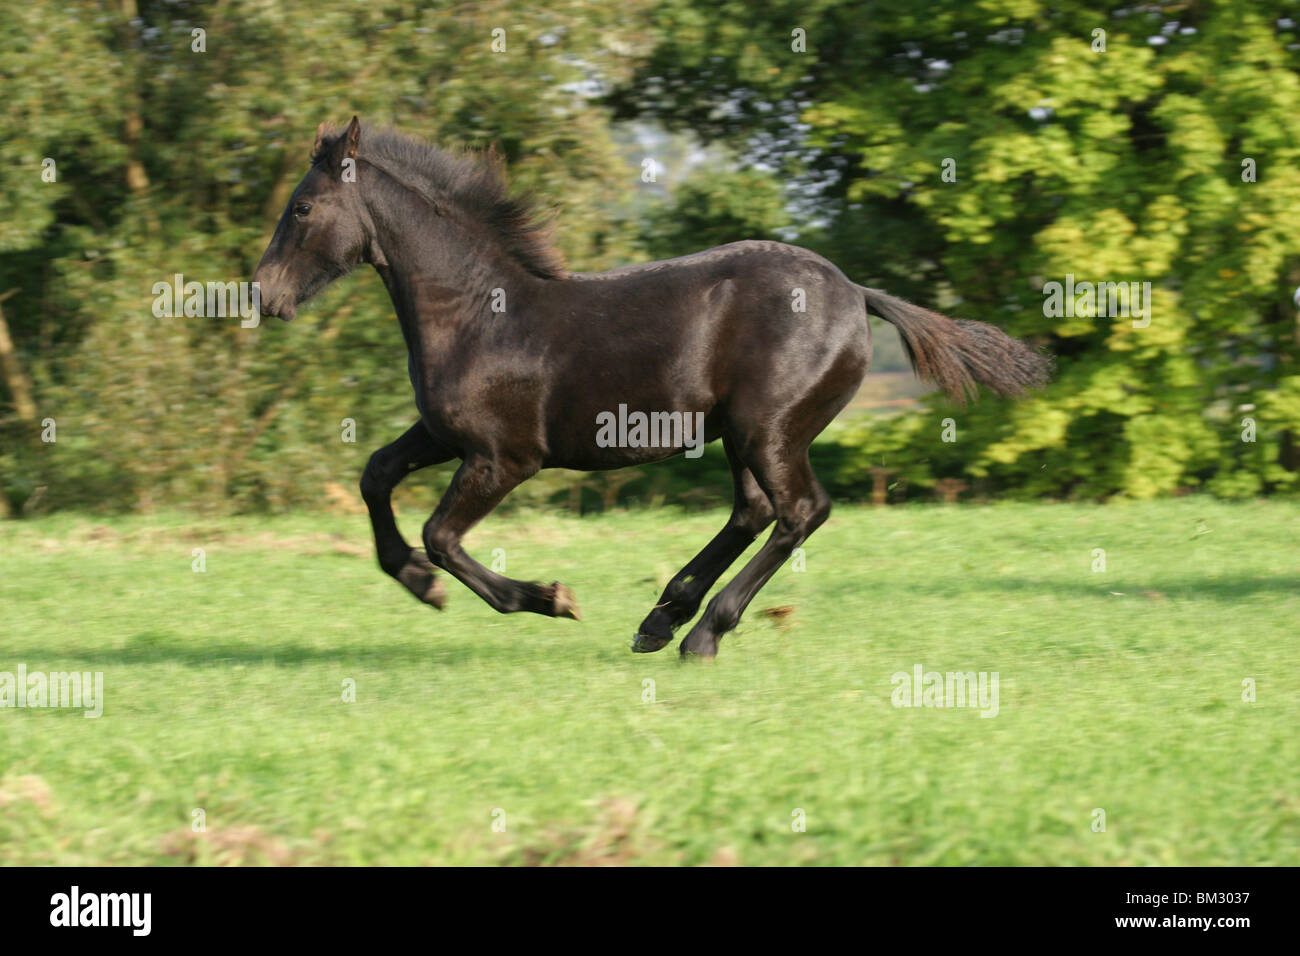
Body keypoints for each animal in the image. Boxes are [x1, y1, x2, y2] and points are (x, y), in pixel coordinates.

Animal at [253, 117, 1051, 658]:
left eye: (301, 207)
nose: (263, 296)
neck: (480, 312)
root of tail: (857, 292)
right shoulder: (444, 434)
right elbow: (375, 475)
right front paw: (418, 582)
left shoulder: (504, 457)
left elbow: (441, 535)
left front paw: (548, 598)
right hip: (740, 433)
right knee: (755, 511)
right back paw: (662, 618)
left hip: (768, 428)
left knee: (800, 511)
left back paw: (703, 634)